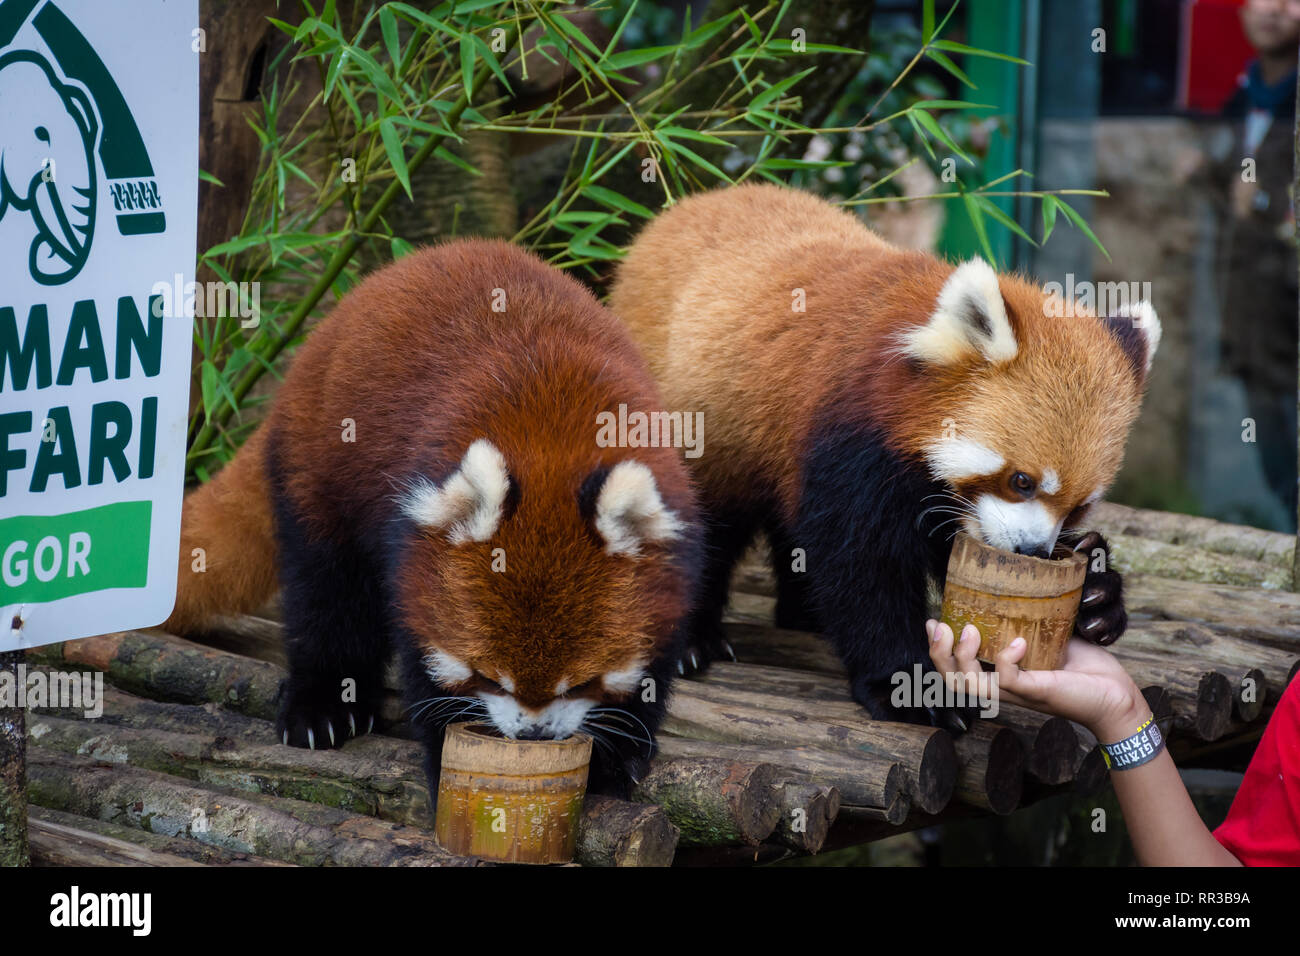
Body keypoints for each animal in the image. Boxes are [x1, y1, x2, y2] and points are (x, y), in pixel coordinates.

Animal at [169, 239, 707, 790]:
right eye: (486, 676)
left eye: (580, 682)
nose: (532, 734)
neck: (552, 444)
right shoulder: (413, 545)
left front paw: (618, 756)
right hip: (319, 471)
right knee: (326, 594)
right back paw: (321, 704)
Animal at [605, 183, 1159, 728]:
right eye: (1021, 481)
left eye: (1080, 506)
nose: (1032, 551)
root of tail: (687, 206)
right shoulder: (854, 439)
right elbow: (865, 567)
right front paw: (910, 687)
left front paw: (1098, 597)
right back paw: (690, 642)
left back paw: (802, 614)